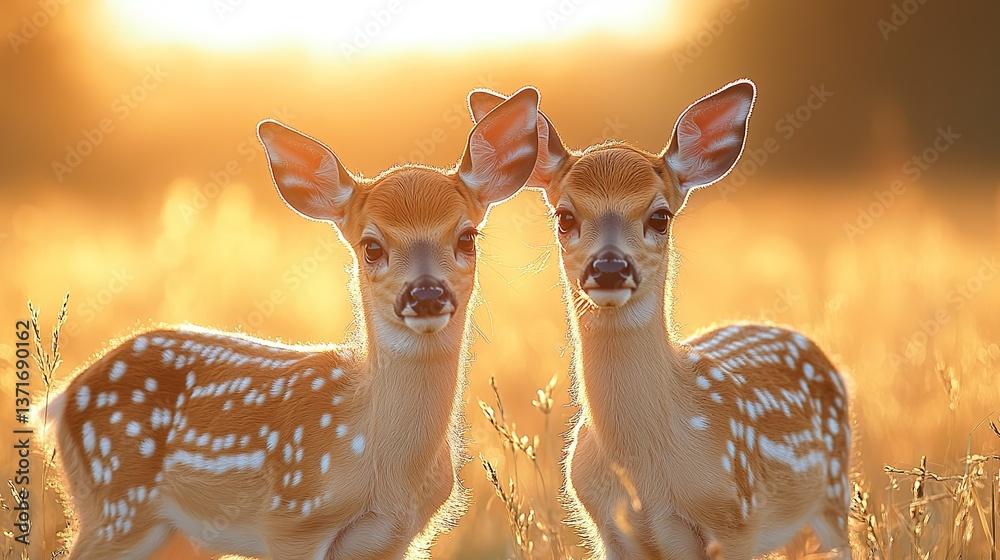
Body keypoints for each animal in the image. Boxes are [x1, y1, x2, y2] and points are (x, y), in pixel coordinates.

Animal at [42, 86, 542, 560]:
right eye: (372, 246)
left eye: (467, 237)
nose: (426, 295)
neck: (382, 470)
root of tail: (64, 396)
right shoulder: (293, 517)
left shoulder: (398, 538)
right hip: (118, 502)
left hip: (177, 535)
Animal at [468, 81, 851, 559]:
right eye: (565, 216)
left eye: (660, 216)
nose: (609, 268)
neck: (646, 474)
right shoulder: (606, 527)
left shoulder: (736, 518)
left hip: (834, 492)